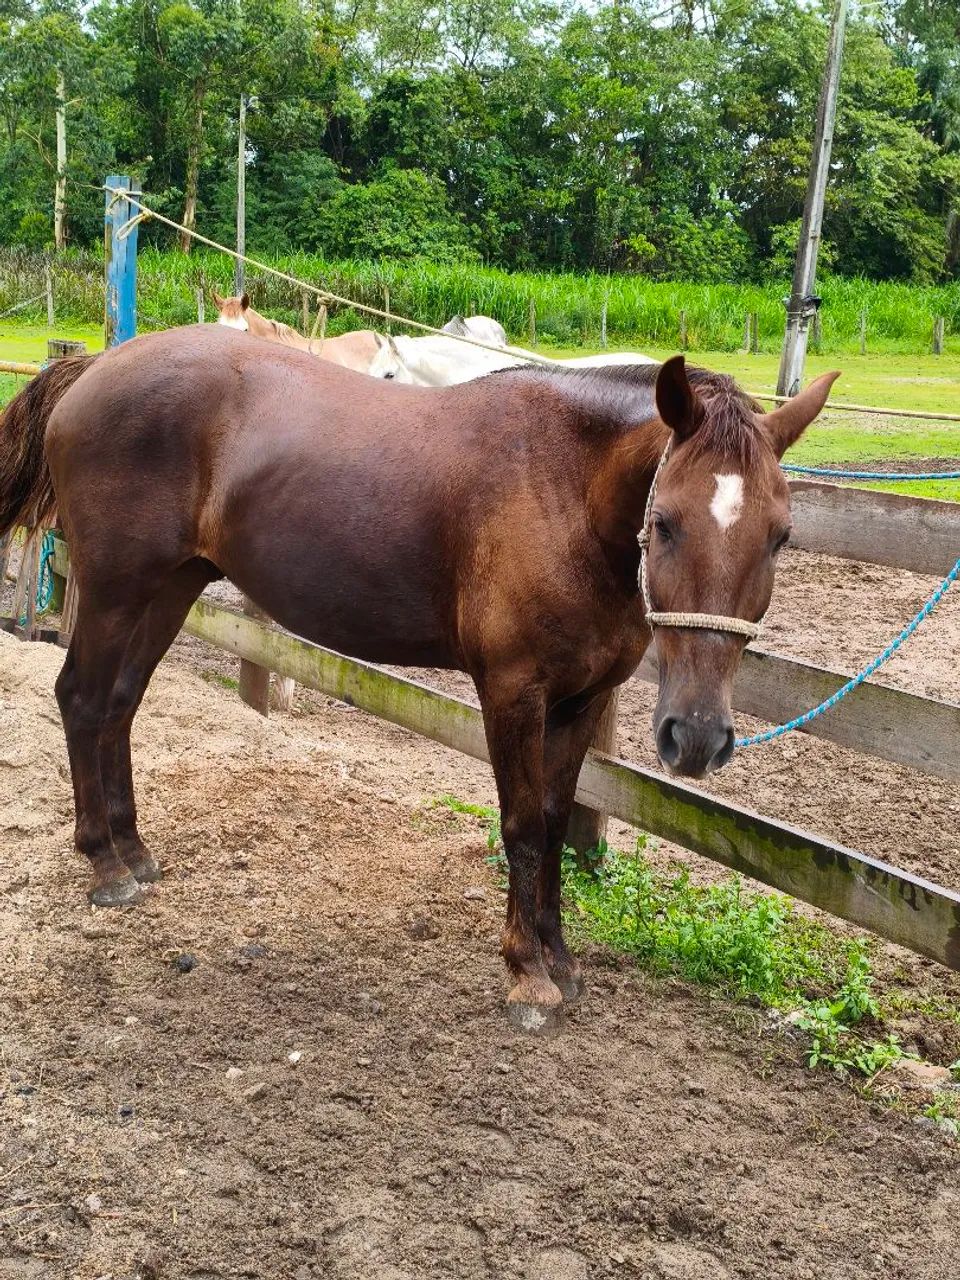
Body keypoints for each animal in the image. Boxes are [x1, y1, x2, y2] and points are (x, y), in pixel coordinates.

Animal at [0, 326, 837, 1032]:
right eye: (664, 522)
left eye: (780, 536)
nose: (695, 737)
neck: (562, 486)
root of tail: (95, 367)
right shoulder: (513, 694)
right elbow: (523, 826)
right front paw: (526, 974)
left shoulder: (580, 701)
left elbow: (557, 825)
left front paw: (560, 961)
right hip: (117, 589)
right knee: (82, 701)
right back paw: (104, 863)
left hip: (169, 588)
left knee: (118, 706)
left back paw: (132, 849)